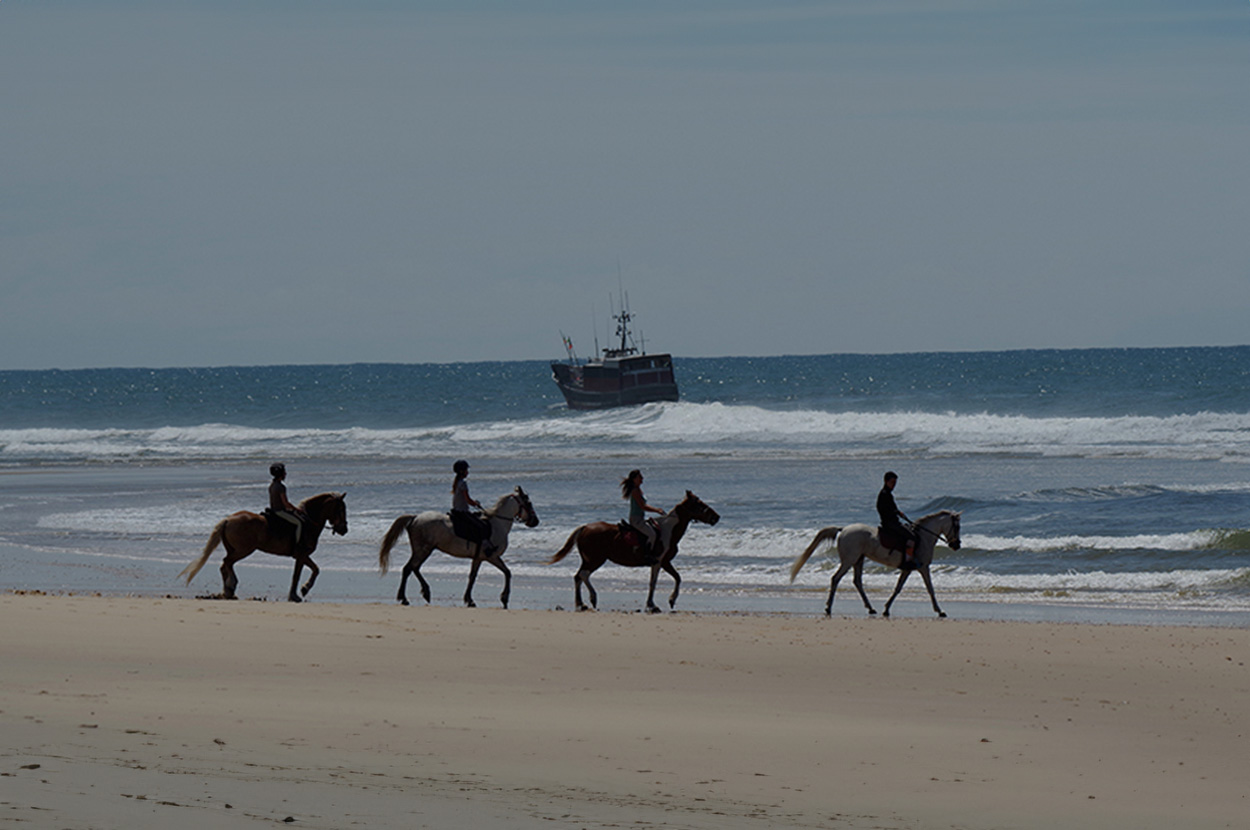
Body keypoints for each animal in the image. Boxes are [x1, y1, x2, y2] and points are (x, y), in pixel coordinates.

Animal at [180, 492, 347, 602]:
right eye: (341, 510)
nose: (344, 530)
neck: (309, 522)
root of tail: (228, 519)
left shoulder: (303, 556)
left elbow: (315, 569)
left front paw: (304, 589)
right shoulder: (301, 555)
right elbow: (298, 574)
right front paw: (297, 594)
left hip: (236, 549)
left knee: (225, 565)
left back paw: (228, 590)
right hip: (243, 550)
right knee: (226, 562)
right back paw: (230, 586)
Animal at [377, 487, 540, 610]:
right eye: (529, 502)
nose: (536, 521)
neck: (497, 524)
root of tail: (415, 517)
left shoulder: (479, 558)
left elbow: (472, 576)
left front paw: (469, 600)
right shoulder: (491, 556)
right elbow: (507, 573)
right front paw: (504, 598)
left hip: (424, 550)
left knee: (414, 568)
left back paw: (425, 592)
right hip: (423, 549)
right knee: (408, 568)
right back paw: (404, 598)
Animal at [550, 490, 725, 612]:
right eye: (700, 504)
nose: (716, 517)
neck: (668, 530)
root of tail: (585, 527)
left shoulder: (665, 562)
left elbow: (677, 578)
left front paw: (671, 600)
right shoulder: (658, 562)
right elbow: (653, 583)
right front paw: (652, 605)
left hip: (589, 560)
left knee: (578, 577)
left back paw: (581, 604)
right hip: (595, 559)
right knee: (583, 575)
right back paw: (592, 598)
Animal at [795, 510, 960, 620]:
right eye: (957, 527)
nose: (957, 545)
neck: (924, 537)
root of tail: (843, 530)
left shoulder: (907, 570)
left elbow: (898, 588)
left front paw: (886, 609)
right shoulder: (923, 567)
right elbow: (930, 589)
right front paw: (940, 611)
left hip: (858, 560)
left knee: (857, 582)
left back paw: (871, 608)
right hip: (849, 561)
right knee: (836, 579)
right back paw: (828, 607)